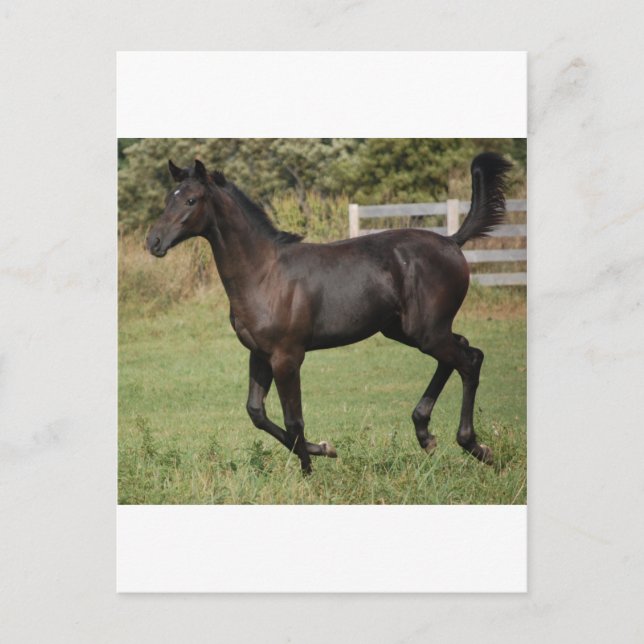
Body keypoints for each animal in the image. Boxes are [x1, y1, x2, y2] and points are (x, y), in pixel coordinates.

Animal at [146, 153, 511, 474]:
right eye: (168, 199)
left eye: (191, 200)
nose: (153, 241)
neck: (264, 274)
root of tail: (452, 242)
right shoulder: (260, 354)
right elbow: (256, 413)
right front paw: (323, 449)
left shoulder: (287, 356)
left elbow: (294, 419)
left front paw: (310, 471)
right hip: (408, 330)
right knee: (462, 352)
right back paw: (426, 435)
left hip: (427, 331)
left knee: (469, 360)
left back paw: (475, 446)